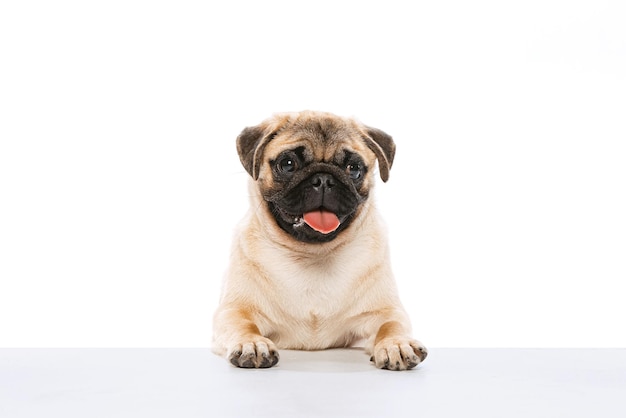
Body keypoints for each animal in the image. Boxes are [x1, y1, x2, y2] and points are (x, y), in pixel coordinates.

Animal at [212, 110, 426, 370]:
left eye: (354, 168)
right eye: (288, 164)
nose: (323, 179)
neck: (313, 255)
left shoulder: (386, 310)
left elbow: (391, 325)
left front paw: (397, 344)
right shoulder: (234, 310)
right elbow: (244, 324)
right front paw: (252, 343)